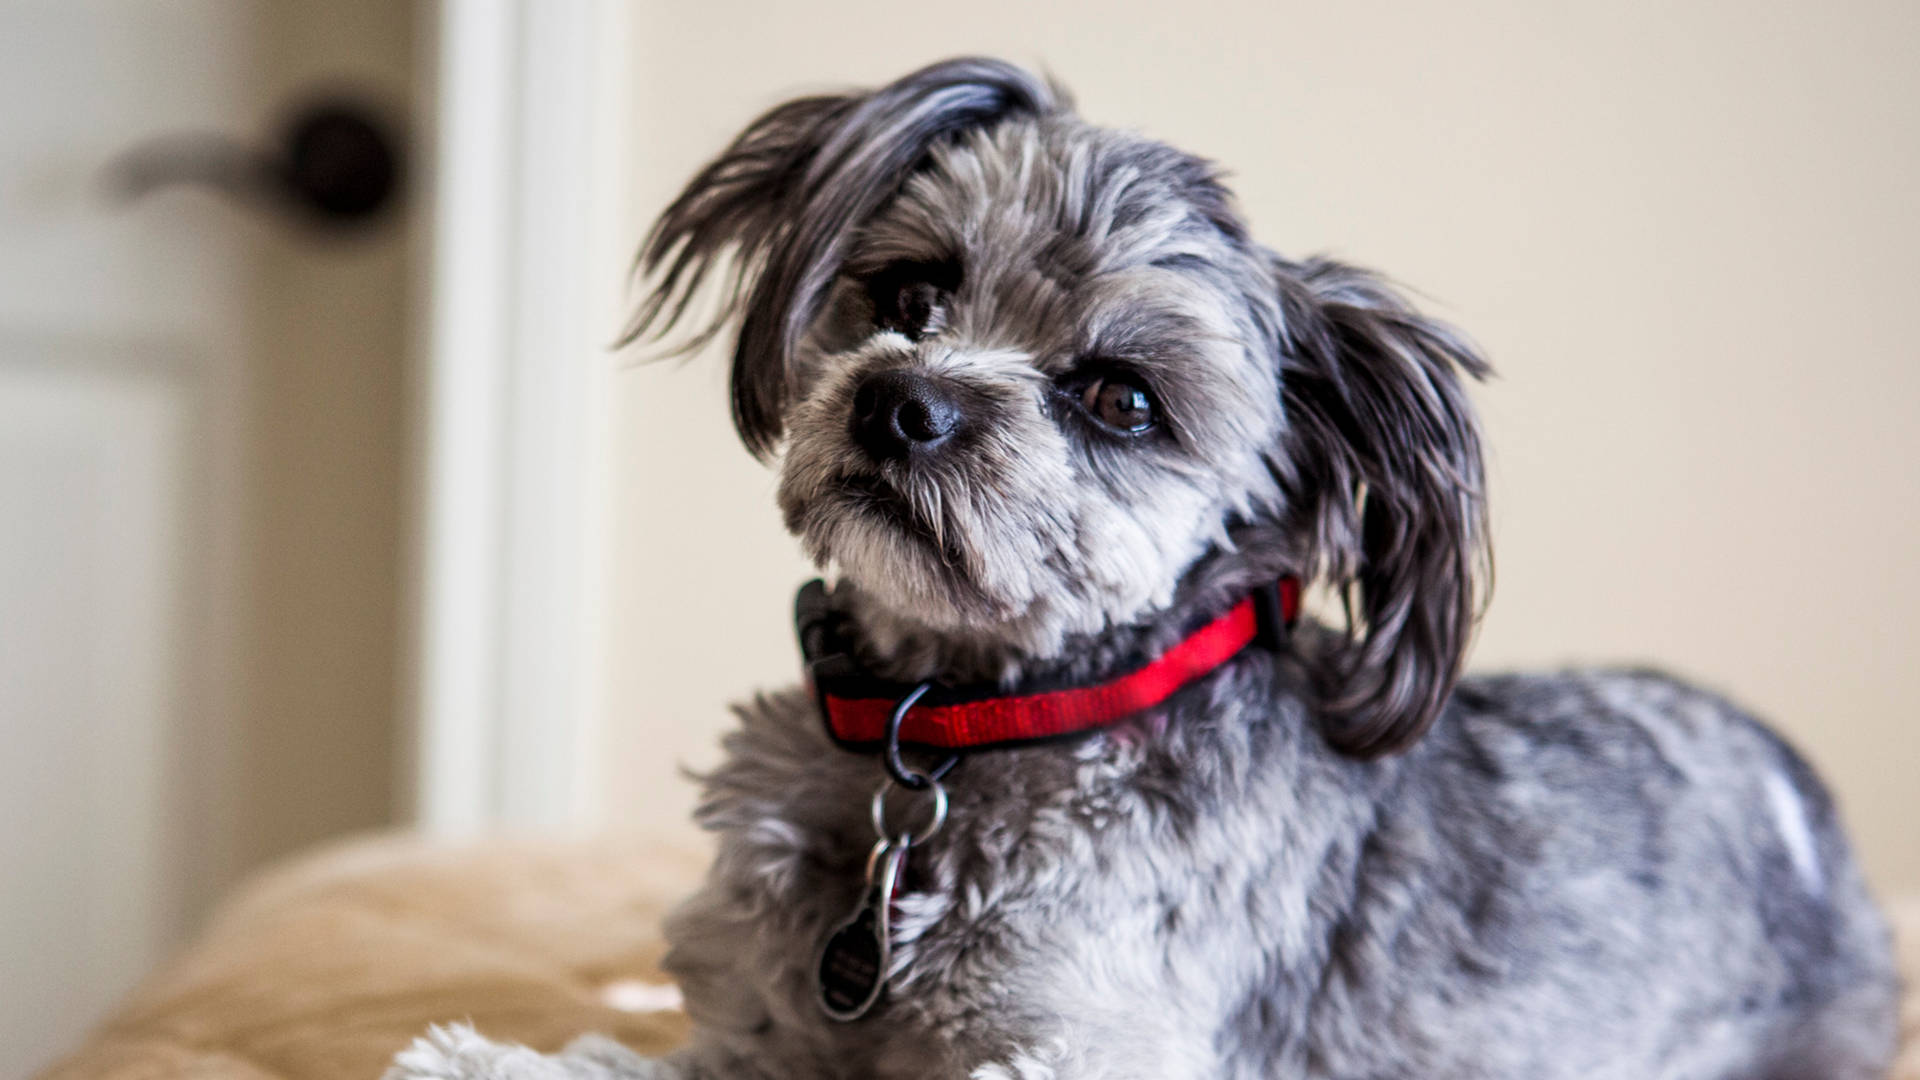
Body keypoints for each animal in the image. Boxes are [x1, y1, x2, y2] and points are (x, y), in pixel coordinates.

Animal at [385, 56, 1889, 1076]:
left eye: (1121, 400)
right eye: (912, 293)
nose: (900, 403)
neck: (969, 730)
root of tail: (1802, 799)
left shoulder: (1077, 1035)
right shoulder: (766, 1031)